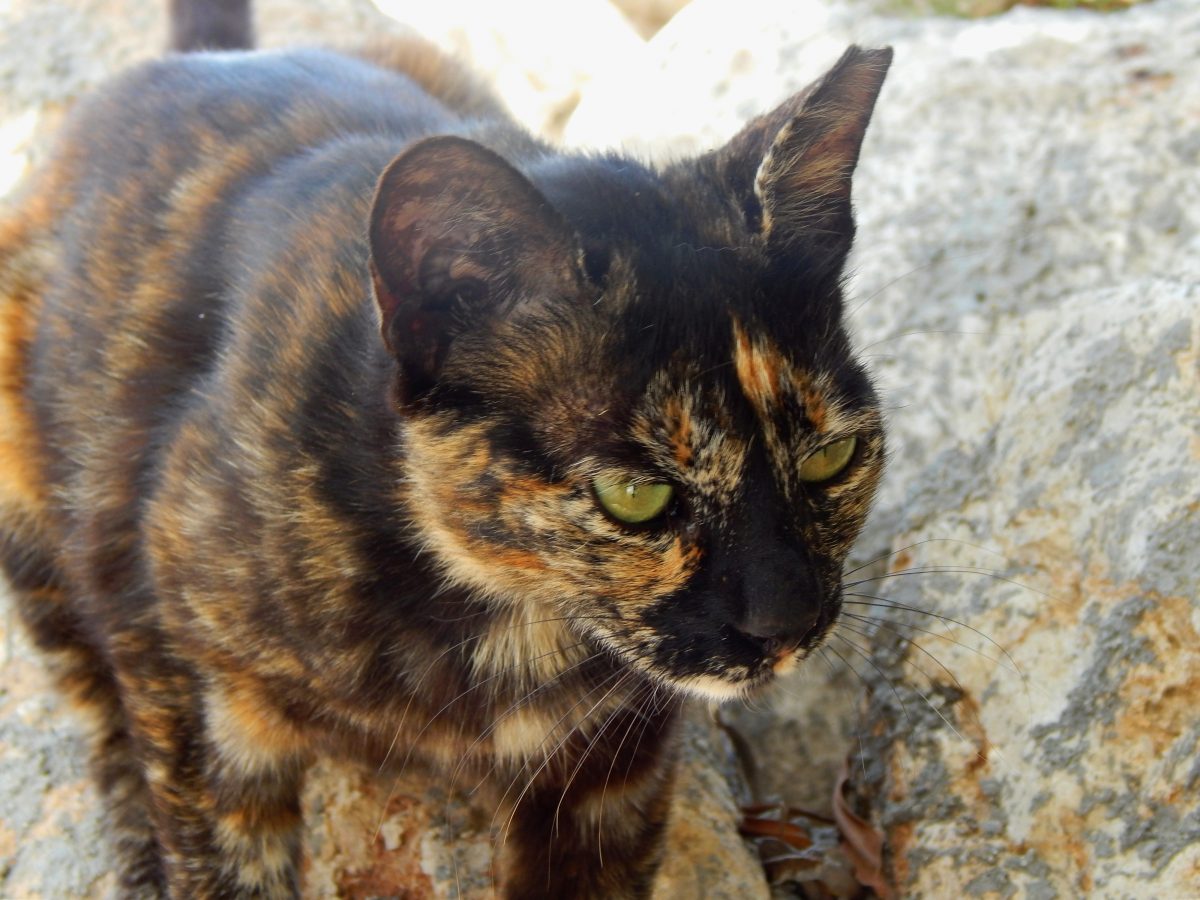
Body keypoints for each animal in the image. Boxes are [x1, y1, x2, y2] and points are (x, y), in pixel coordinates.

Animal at [0, 1, 892, 897]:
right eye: (637, 497)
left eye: (833, 458)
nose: (788, 623)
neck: (504, 619)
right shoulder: (186, 681)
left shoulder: (610, 768)